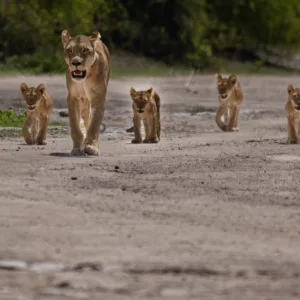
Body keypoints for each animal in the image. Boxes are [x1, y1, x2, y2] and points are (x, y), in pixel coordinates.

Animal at [61, 29, 110, 157]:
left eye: (85, 50)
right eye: (70, 50)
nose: (75, 62)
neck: (85, 77)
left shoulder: (99, 98)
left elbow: (94, 125)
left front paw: (91, 147)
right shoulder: (73, 97)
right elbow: (75, 126)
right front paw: (77, 148)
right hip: (84, 103)